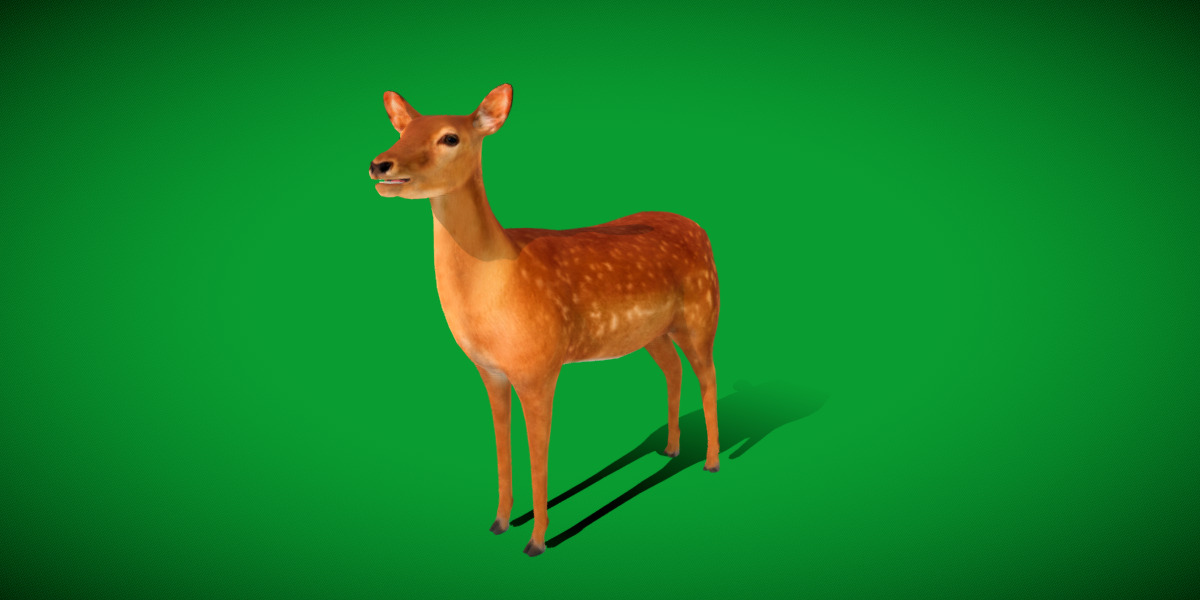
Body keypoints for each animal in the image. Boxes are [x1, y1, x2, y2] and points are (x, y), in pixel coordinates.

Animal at [368, 84, 720, 557]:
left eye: (450, 137)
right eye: (403, 131)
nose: (380, 163)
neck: (504, 279)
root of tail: (700, 229)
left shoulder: (540, 365)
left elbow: (540, 454)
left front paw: (536, 540)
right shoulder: (490, 371)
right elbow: (502, 446)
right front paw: (499, 521)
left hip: (702, 313)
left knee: (708, 375)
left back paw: (712, 461)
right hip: (651, 333)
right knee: (673, 369)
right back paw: (669, 449)